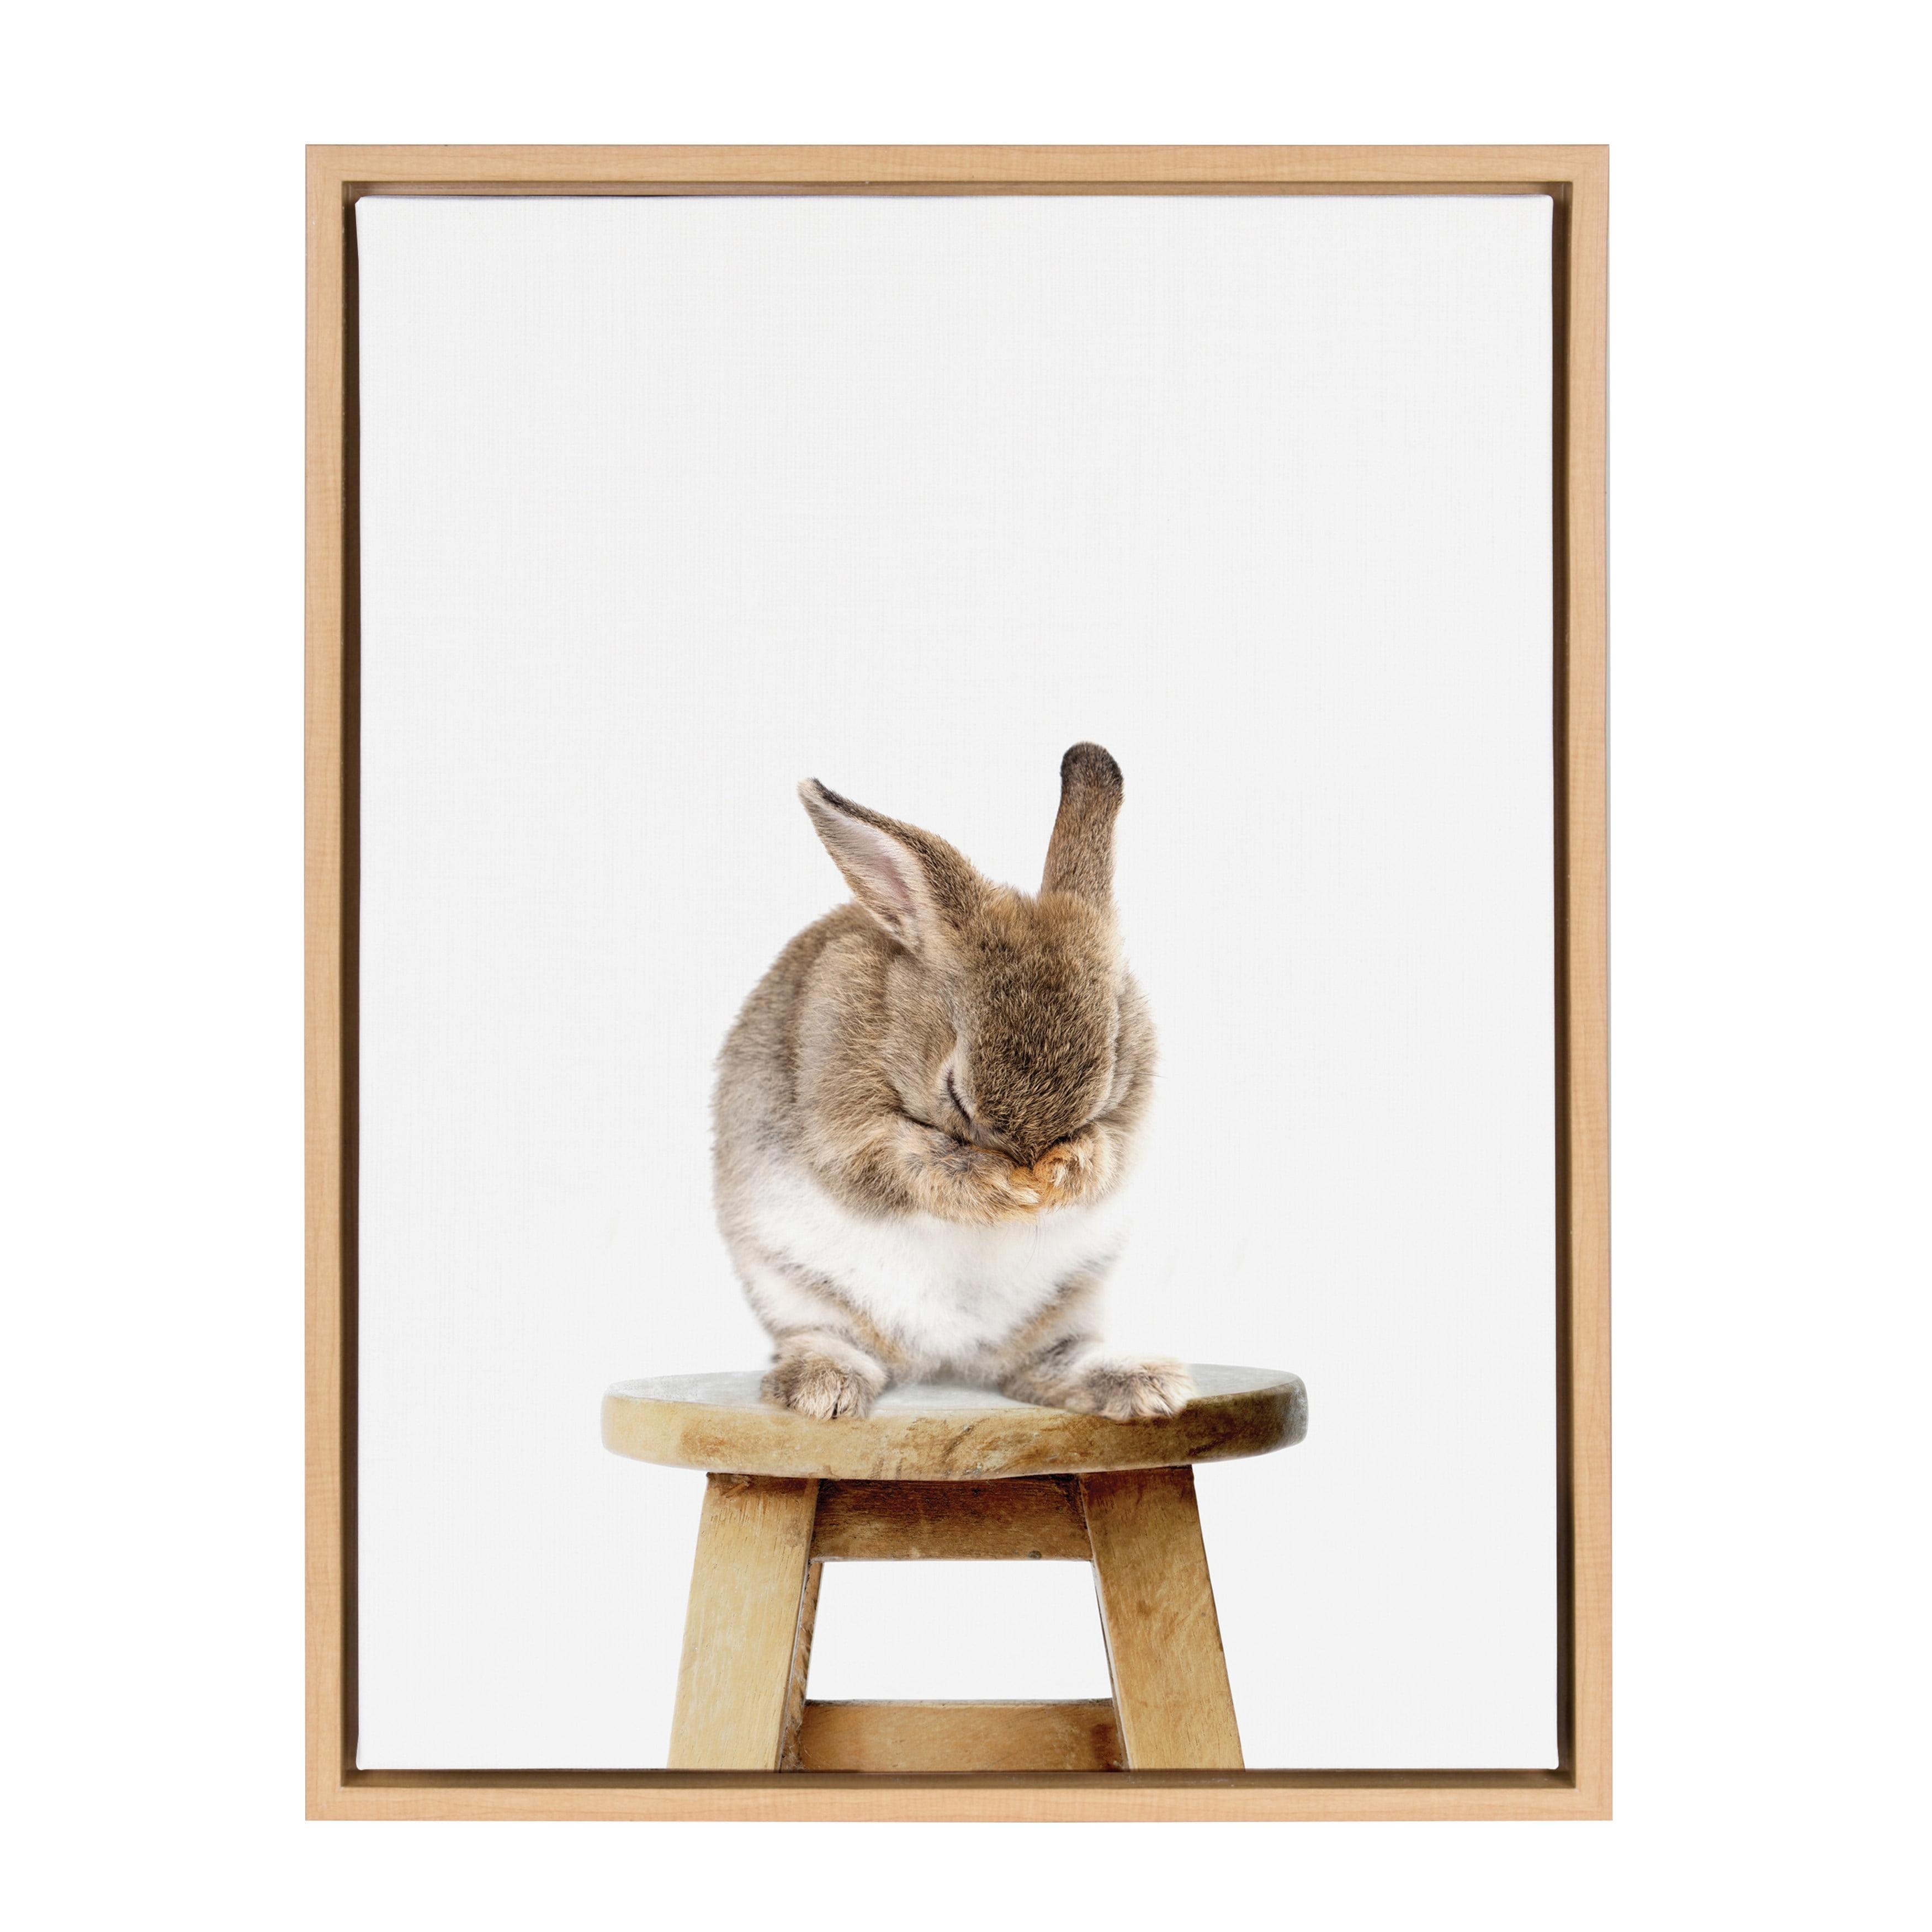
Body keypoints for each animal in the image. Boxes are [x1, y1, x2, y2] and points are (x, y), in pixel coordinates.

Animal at [712, 742, 1192, 1423]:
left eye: (1102, 1087)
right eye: (955, 1095)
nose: (1031, 1167)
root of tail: (946, 1359)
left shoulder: (1130, 1117)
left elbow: (1111, 1152)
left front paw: (1065, 1172)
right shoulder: (844, 1124)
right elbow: (908, 1164)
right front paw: (1003, 1188)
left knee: (1048, 1367)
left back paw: (1146, 1385)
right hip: (795, 1290)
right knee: (829, 1340)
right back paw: (824, 1390)